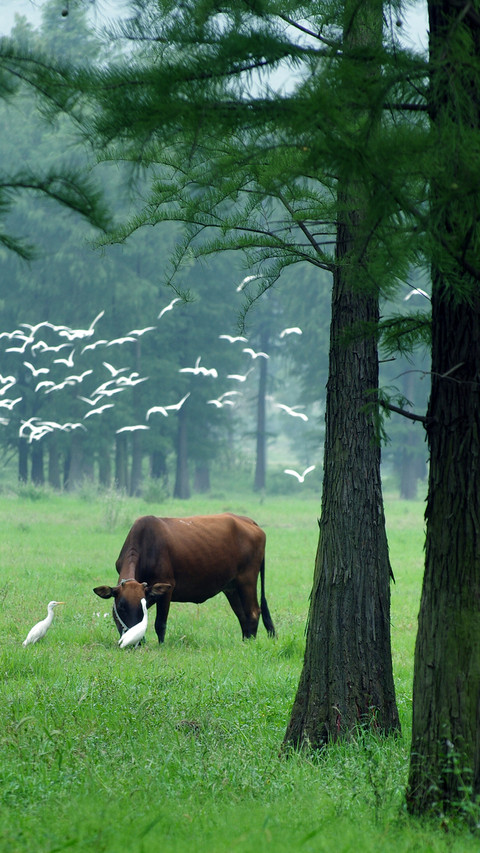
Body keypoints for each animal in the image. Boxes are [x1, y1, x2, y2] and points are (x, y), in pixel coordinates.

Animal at [93, 512, 275, 644]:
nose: (133, 641)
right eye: (121, 606)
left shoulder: (166, 589)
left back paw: (250, 643)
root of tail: (248, 521)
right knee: (242, 615)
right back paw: (244, 641)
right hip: (232, 587)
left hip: (247, 580)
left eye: (141, 607)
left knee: (253, 612)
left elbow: (160, 624)